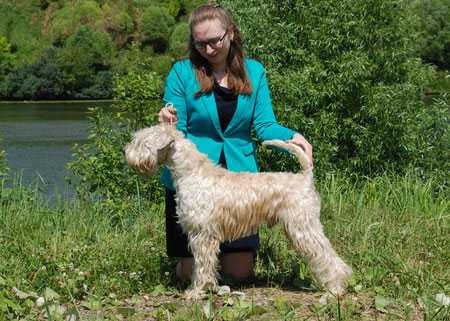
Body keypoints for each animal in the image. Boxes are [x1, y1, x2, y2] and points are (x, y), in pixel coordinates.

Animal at [125, 124, 354, 298]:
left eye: (142, 141)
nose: (125, 152)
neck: (191, 173)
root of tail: (304, 177)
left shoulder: (201, 235)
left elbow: (201, 266)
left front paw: (196, 292)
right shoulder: (204, 236)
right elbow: (207, 265)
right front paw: (210, 287)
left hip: (304, 228)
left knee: (328, 256)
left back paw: (335, 289)